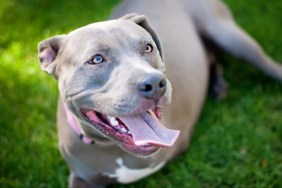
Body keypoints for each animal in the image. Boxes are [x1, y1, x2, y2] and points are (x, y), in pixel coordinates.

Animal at [37, 0, 282, 187]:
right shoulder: (81, 178)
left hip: (229, 35)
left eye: (148, 47)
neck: (113, 148)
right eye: (96, 59)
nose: (154, 83)